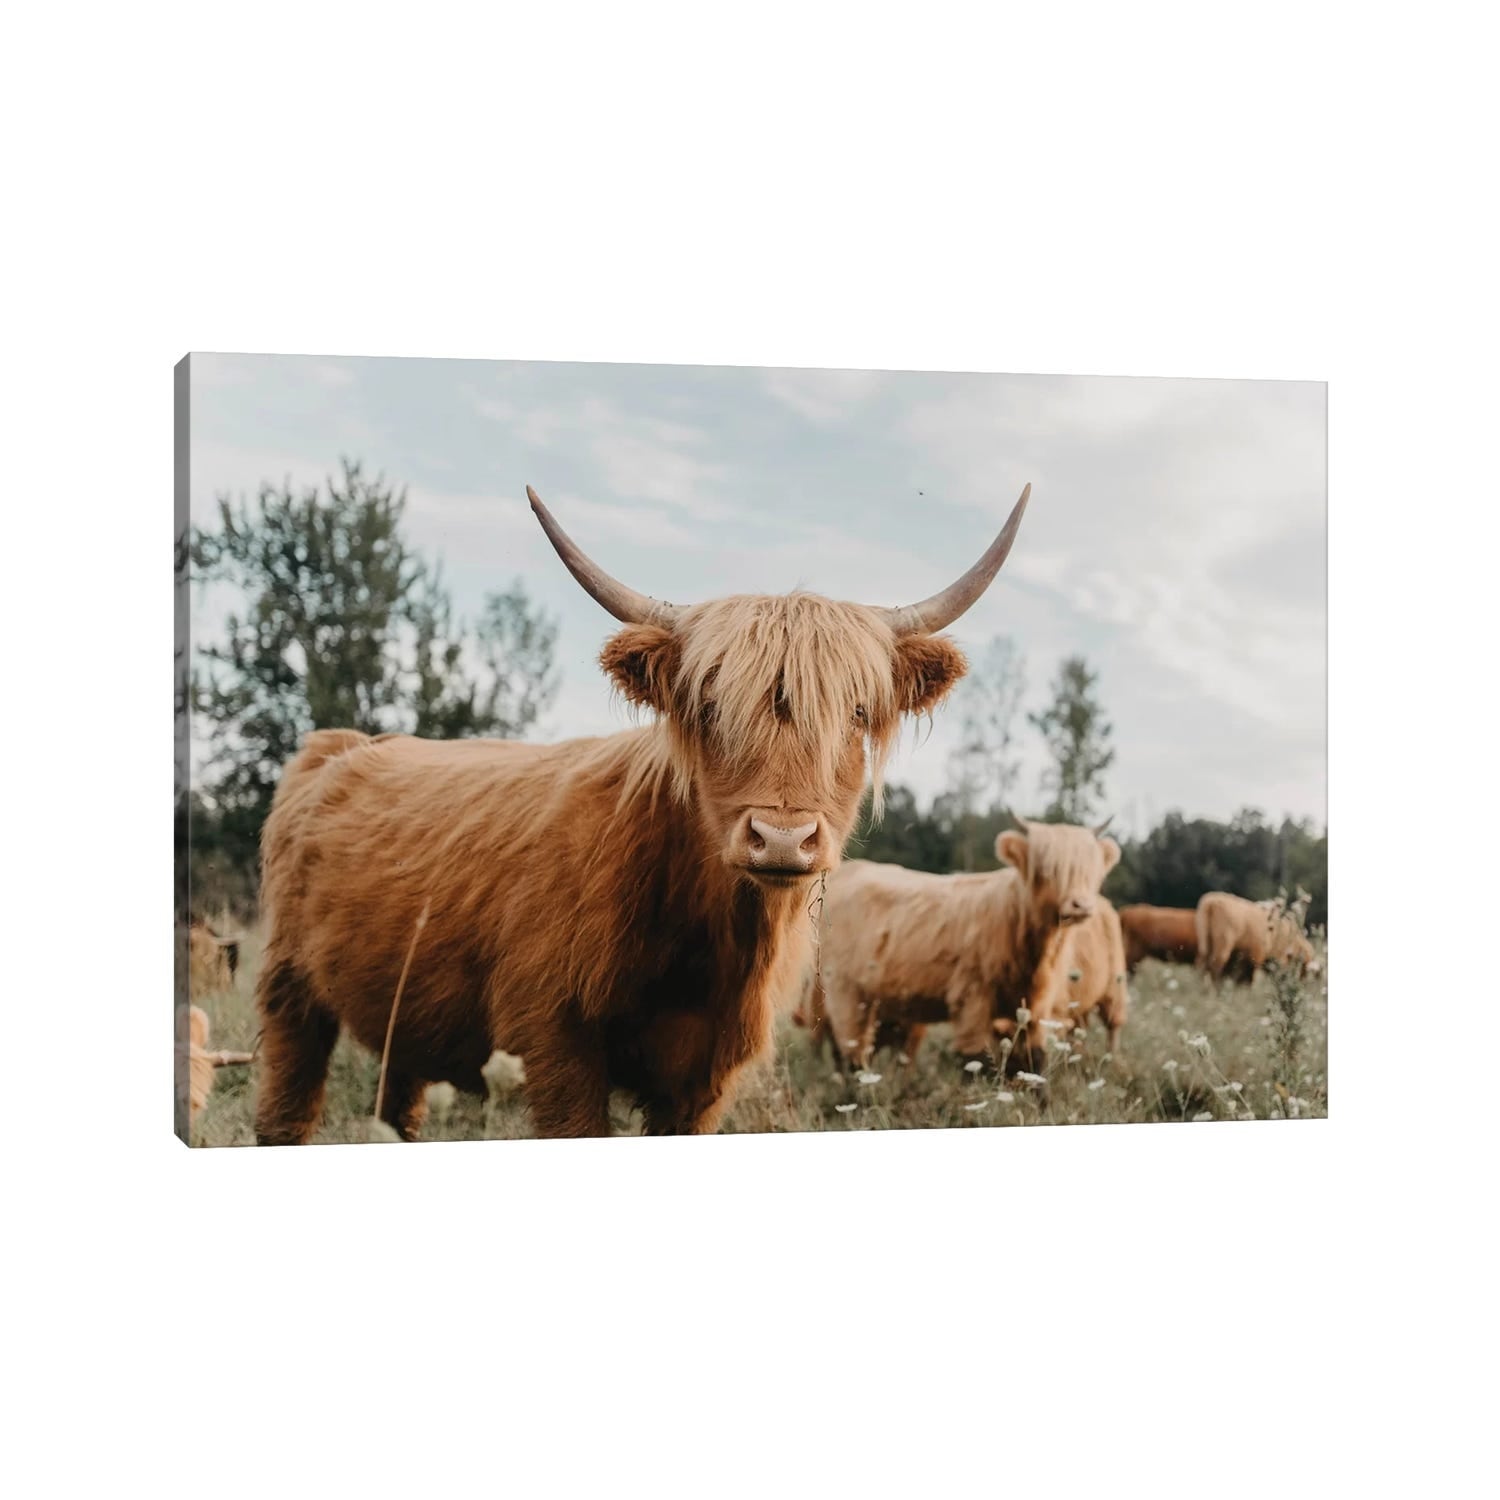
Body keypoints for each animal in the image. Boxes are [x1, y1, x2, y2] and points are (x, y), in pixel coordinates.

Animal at [252, 482, 1033, 1142]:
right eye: (710, 708)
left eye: (860, 713)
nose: (783, 839)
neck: (704, 937)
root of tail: (341, 744)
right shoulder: (556, 1041)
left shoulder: (704, 1080)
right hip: (289, 987)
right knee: (287, 1105)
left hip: (401, 1015)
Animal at [809, 815, 1121, 1074]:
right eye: (1047, 869)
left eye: (1092, 871)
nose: (1081, 905)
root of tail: (849, 870)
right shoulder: (972, 997)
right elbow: (975, 1061)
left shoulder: (1037, 1005)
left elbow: (1035, 1061)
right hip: (845, 992)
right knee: (851, 1053)